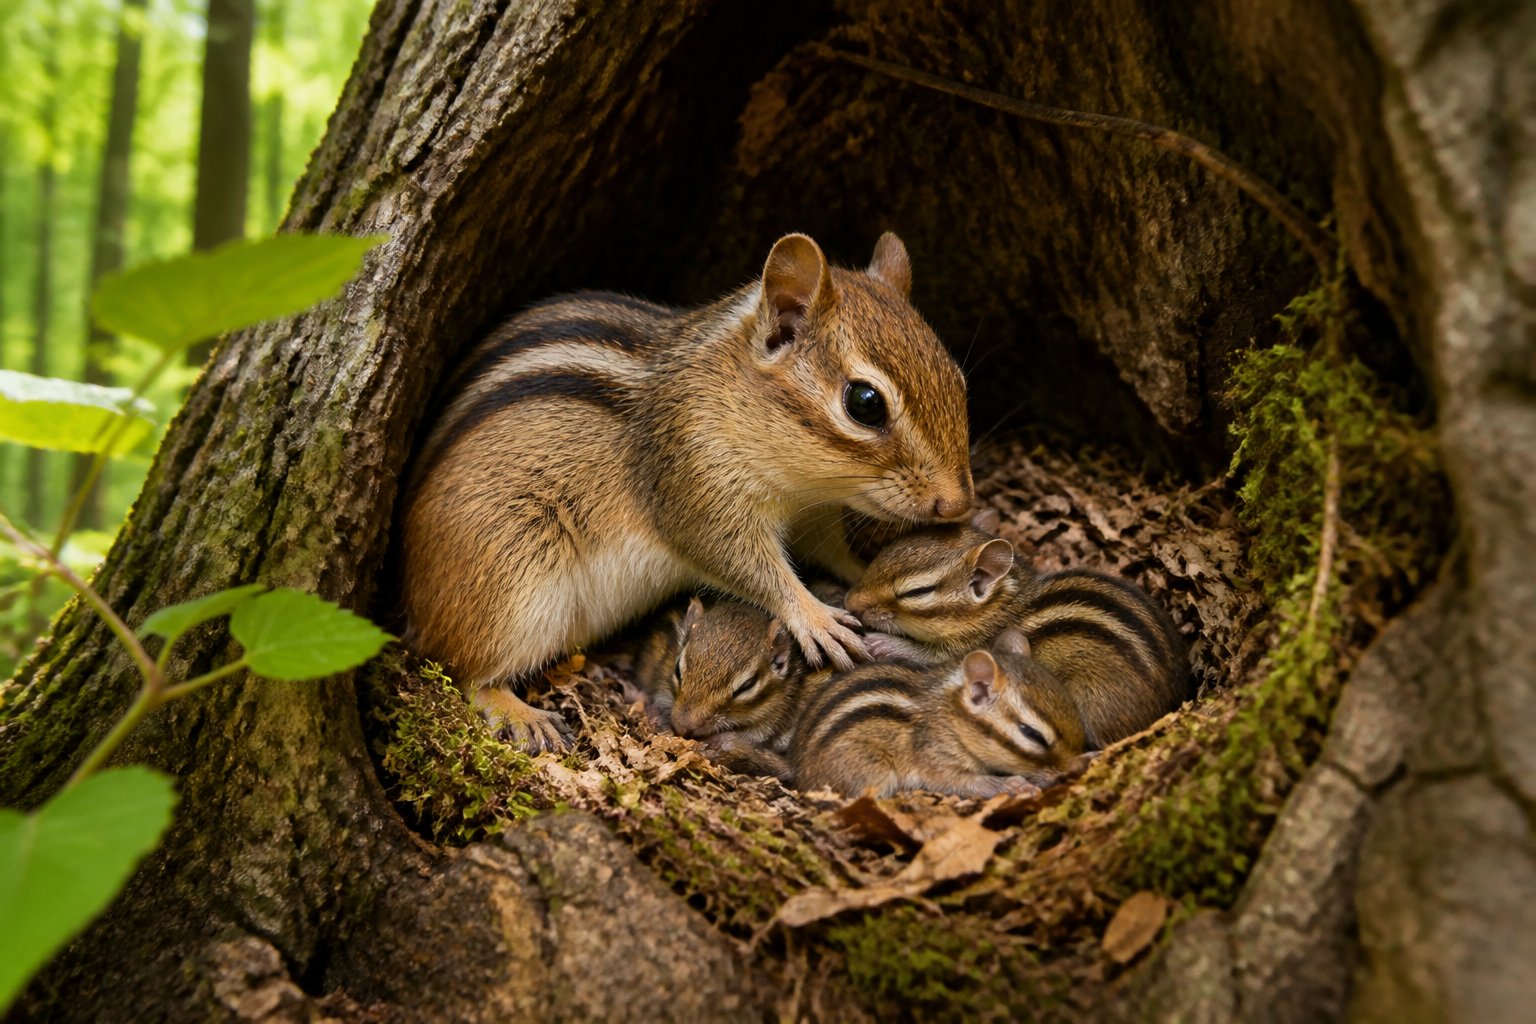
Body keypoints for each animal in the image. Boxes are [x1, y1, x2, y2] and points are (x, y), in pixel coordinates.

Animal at [401, 233, 973, 751]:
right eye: (865, 403)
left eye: (959, 381)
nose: (957, 504)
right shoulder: (695, 485)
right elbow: (745, 563)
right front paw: (814, 617)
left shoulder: (813, 515)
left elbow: (832, 553)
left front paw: (863, 577)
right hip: (509, 583)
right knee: (464, 667)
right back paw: (518, 711)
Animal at [789, 628, 1086, 798]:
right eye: (1031, 734)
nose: (1074, 769)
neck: (951, 716)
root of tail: (802, 776)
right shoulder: (935, 758)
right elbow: (966, 782)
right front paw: (1012, 785)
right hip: (870, 768)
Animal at [843, 522, 1189, 748]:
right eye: (880, 557)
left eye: (917, 592)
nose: (850, 602)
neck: (998, 606)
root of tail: (1170, 704)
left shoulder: (965, 651)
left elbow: (922, 655)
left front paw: (880, 641)